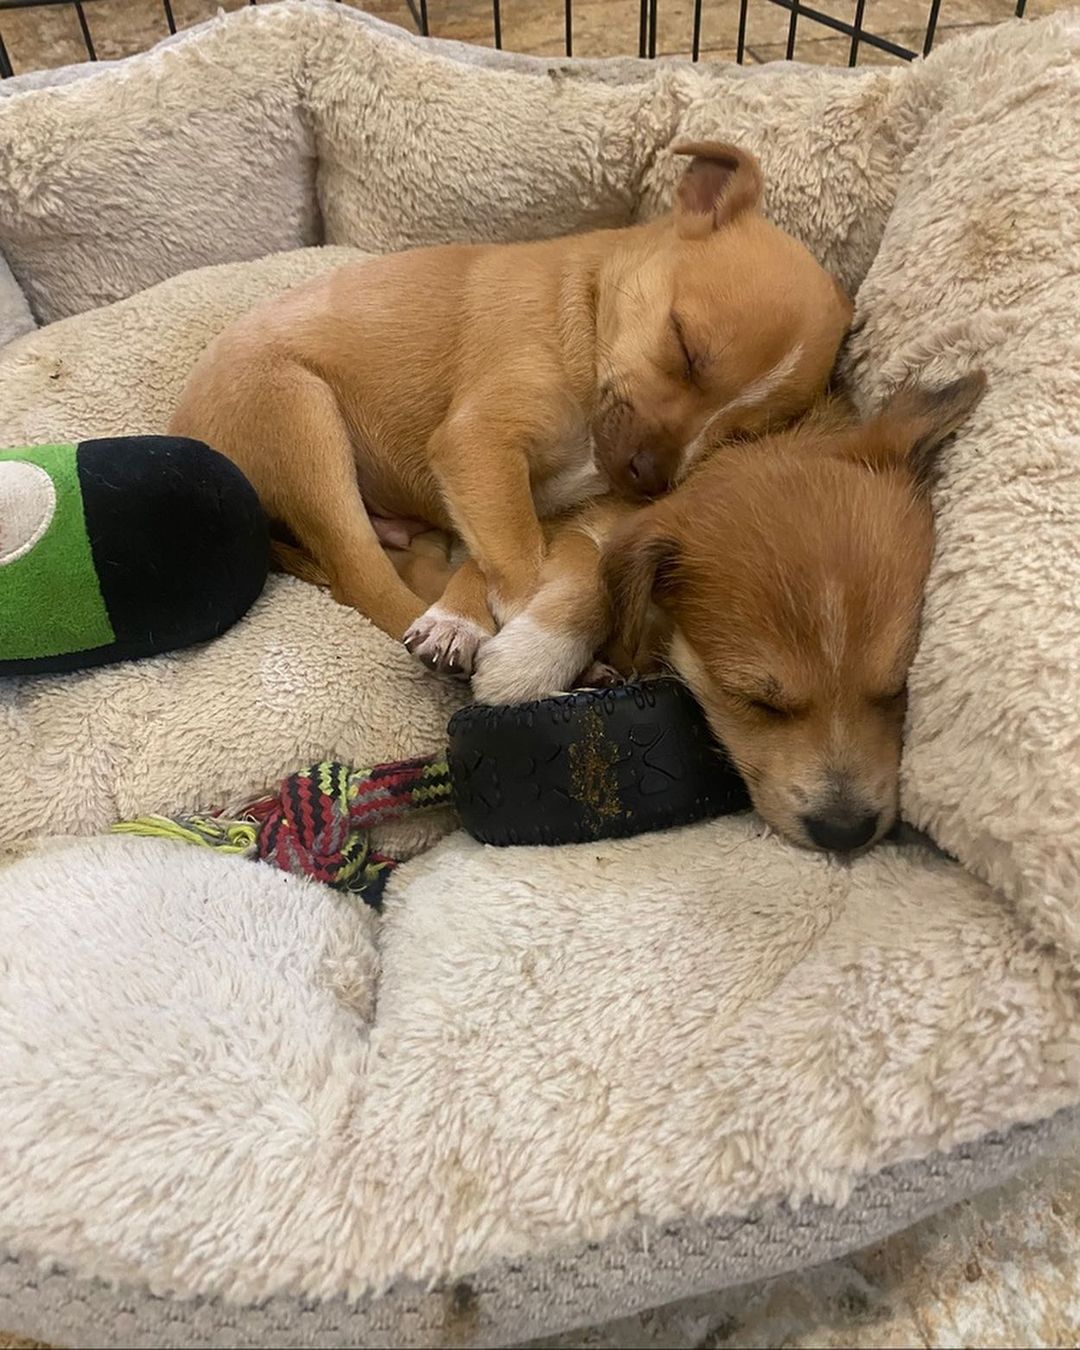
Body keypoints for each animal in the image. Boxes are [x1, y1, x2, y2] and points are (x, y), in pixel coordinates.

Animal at [170, 141, 853, 669]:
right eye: (683, 346)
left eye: (742, 434)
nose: (649, 481)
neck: (585, 309)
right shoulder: (479, 444)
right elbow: (524, 573)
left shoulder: (520, 498)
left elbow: (509, 551)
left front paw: (472, 615)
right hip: (300, 417)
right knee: (364, 581)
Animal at [472, 369, 988, 853]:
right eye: (754, 701)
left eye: (897, 690)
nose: (844, 832)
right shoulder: (599, 524)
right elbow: (591, 575)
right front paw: (524, 665)